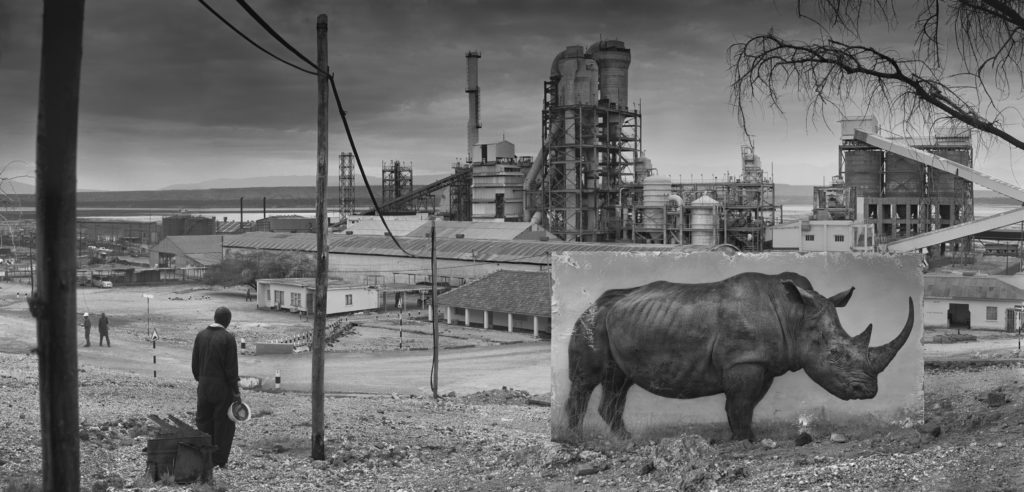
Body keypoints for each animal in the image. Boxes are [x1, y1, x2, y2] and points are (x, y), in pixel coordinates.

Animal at [565, 271, 914, 441]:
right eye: (835, 354)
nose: (867, 392)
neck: (795, 314)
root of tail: (595, 302)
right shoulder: (744, 360)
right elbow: (741, 402)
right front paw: (748, 440)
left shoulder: (763, 362)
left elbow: (745, 404)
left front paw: (741, 435)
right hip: (591, 321)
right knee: (588, 380)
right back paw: (575, 441)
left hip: (621, 323)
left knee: (618, 381)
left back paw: (627, 440)